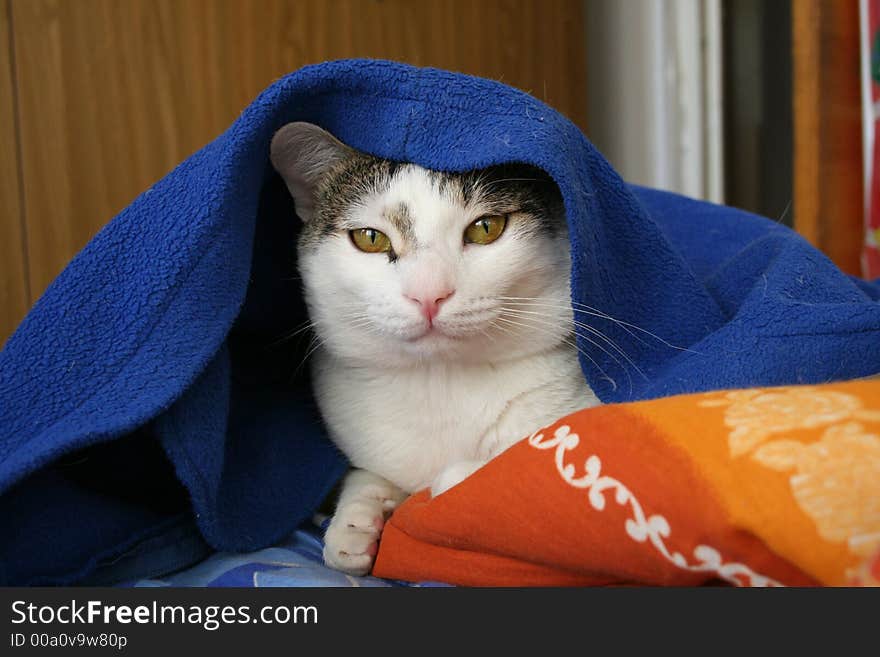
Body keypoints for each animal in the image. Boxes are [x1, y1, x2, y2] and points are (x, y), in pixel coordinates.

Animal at [268, 123, 600, 576]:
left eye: (486, 227)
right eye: (369, 238)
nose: (428, 294)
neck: (441, 380)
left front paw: (452, 482)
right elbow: (366, 476)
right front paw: (354, 522)